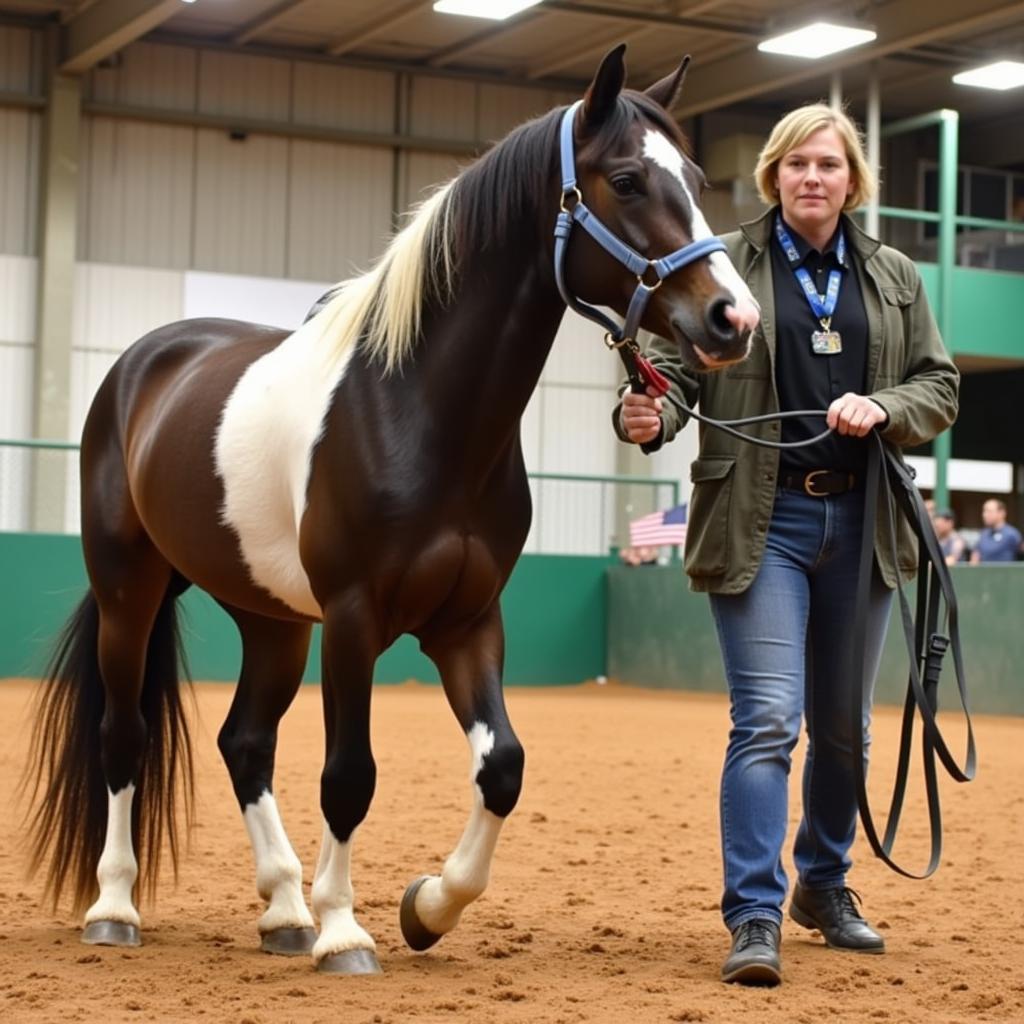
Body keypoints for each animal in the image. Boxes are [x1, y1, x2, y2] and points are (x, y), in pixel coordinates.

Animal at [25, 46, 761, 974]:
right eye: (627, 180)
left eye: (697, 179)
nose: (734, 317)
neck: (414, 407)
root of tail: (139, 365)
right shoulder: (352, 618)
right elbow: (350, 774)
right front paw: (346, 932)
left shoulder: (467, 621)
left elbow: (503, 766)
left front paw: (427, 908)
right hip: (131, 590)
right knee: (123, 737)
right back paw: (117, 908)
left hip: (269, 618)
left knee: (244, 743)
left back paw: (283, 913)